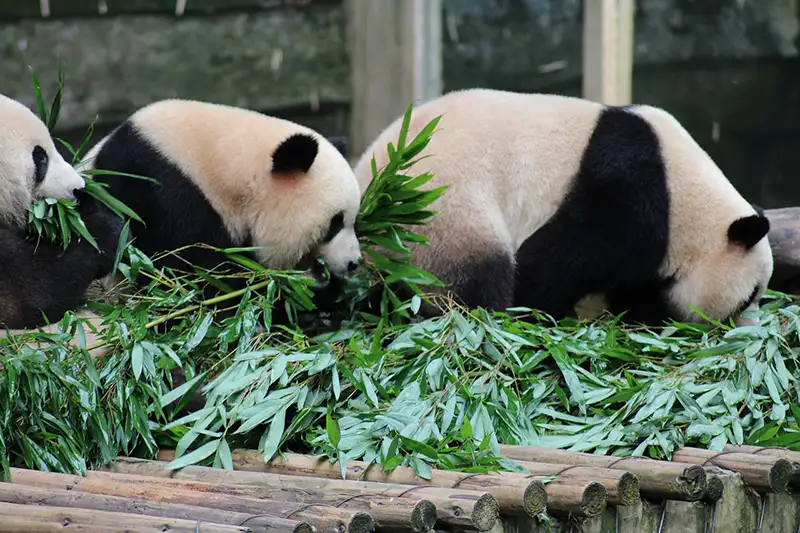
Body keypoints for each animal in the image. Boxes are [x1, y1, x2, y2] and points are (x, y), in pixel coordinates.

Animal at [354, 88, 772, 324]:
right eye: (748, 296)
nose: (744, 327)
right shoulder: (630, 193)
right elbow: (565, 257)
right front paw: (533, 309)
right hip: (443, 214)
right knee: (470, 282)